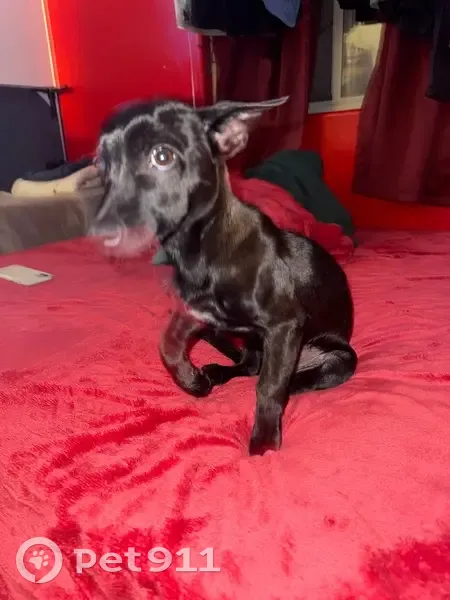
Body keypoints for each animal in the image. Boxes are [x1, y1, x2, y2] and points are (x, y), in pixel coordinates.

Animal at [90, 96, 357, 456]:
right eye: (100, 164)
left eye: (162, 156)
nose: (102, 233)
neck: (200, 249)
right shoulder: (196, 312)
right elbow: (168, 345)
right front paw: (193, 381)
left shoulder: (285, 325)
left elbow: (269, 388)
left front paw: (263, 446)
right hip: (248, 340)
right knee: (249, 365)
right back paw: (215, 372)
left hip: (341, 356)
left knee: (285, 377)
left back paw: (291, 383)